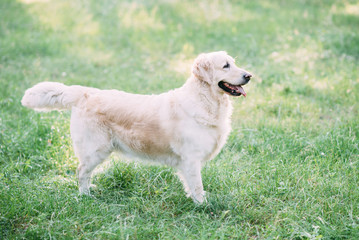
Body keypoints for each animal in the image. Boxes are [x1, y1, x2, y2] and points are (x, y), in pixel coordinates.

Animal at [21, 51, 253, 202]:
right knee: (80, 171)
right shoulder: (191, 158)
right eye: (225, 66)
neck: (205, 100)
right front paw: (203, 206)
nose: (249, 75)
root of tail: (86, 93)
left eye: (234, 63)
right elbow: (196, 185)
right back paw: (85, 195)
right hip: (96, 149)